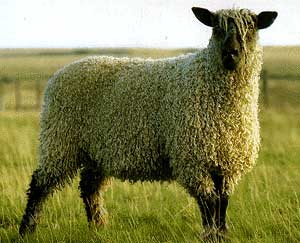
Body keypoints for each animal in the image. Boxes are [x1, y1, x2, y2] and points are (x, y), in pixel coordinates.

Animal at [18, 7, 276, 239]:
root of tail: (58, 75)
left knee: (89, 188)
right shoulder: (192, 159)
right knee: (40, 184)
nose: (231, 54)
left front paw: (222, 235)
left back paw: (98, 227)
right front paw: (211, 236)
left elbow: (222, 203)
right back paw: (27, 230)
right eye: (216, 28)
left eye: (251, 28)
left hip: (95, 151)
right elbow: (208, 202)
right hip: (60, 140)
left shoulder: (225, 161)